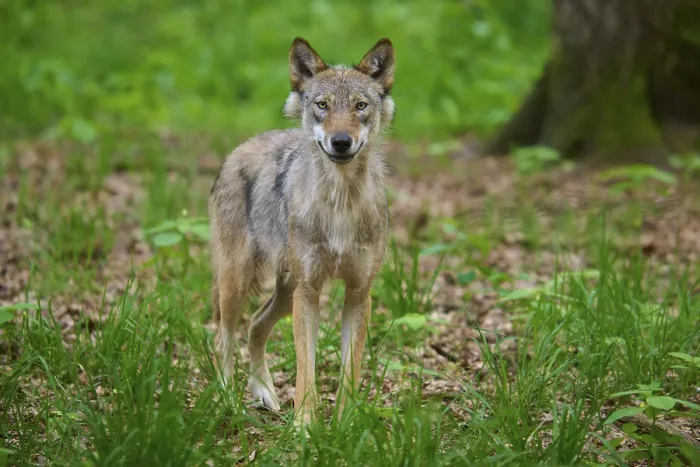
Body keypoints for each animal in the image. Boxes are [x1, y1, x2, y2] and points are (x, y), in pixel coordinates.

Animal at [208, 36, 395, 426]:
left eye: (360, 106)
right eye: (322, 105)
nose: (341, 141)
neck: (340, 204)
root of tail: (239, 147)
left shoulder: (359, 294)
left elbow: (351, 369)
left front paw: (344, 424)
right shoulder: (309, 293)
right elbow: (305, 368)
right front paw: (305, 426)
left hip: (285, 292)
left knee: (256, 326)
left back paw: (264, 392)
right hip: (239, 282)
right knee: (224, 337)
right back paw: (228, 400)